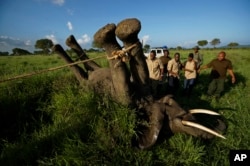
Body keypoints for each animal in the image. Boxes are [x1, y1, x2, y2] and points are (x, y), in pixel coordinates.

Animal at [52, 17, 227, 149]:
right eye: (171, 118)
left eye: (171, 101)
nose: (220, 120)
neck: (148, 103)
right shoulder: (125, 101)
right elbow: (123, 82)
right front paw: (119, 33)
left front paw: (125, 34)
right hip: (86, 85)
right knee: (82, 74)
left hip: (92, 74)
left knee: (88, 66)